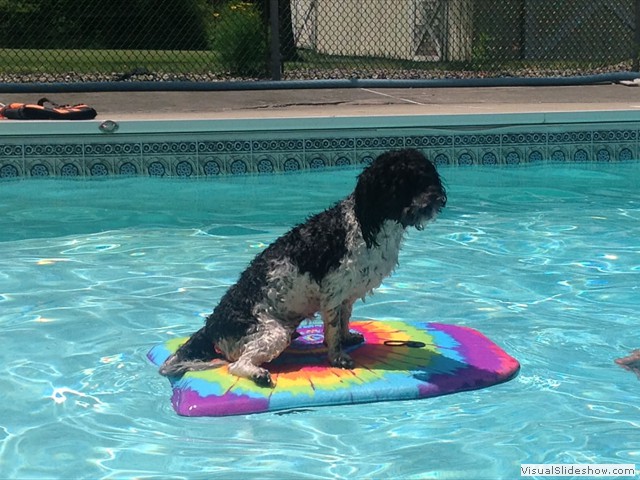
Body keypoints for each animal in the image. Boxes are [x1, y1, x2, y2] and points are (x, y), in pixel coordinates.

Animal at [161, 148, 444, 388]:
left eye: (426, 178)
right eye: (401, 184)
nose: (436, 200)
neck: (369, 222)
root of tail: (212, 325)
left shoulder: (346, 295)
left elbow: (343, 321)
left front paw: (348, 338)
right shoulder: (333, 292)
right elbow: (333, 330)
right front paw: (338, 357)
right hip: (272, 332)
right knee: (238, 365)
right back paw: (258, 373)